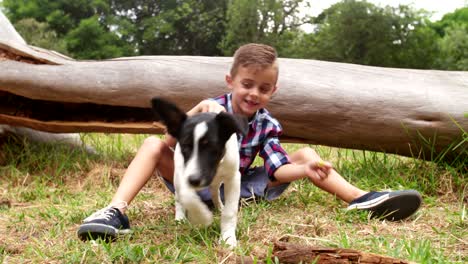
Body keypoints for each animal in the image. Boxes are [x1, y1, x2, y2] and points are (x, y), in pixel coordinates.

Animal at [153, 97, 249, 248]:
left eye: (212, 148)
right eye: (185, 146)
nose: (194, 180)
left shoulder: (233, 177)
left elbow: (230, 211)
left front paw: (227, 237)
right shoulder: (183, 174)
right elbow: (187, 196)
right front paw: (202, 217)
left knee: (215, 191)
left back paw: (219, 206)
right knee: (178, 197)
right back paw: (180, 217)